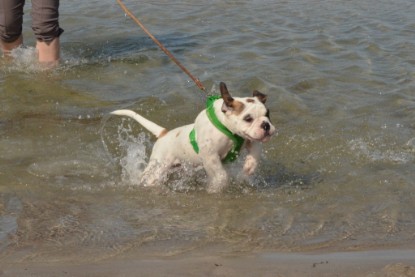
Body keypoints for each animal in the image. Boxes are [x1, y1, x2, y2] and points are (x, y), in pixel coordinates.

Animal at [112, 82, 278, 192]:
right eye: (248, 118)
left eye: (268, 114)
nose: (266, 125)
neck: (229, 130)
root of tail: (164, 133)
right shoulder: (210, 155)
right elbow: (220, 174)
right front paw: (217, 185)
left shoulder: (251, 141)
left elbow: (254, 154)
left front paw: (249, 167)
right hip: (158, 164)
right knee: (150, 174)